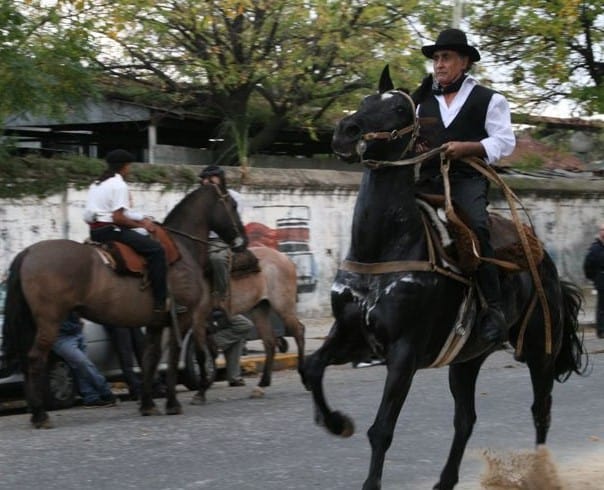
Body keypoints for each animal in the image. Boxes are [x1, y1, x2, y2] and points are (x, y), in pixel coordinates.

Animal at [1, 185, 245, 428]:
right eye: (233, 205)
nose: (242, 241)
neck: (181, 249)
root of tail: (28, 253)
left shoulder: (156, 322)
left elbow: (150, 358)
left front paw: (148, 404)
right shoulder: (182, 319)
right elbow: (174, 357)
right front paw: (172, 404)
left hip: (31, 324)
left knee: (26, 361)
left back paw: (35, 411)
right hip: (49, 322)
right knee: (36, 359)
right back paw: (41, 415)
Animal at [192, 245, 306, 402]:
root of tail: (285, 258)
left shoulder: (197, 317)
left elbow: (201, 353)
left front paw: (202, 389)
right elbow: (206, 350)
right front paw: (204, 386)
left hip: (283, 306)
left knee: (298, 331)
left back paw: (303, 376)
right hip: (260, 309)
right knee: (270, 341)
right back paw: (261, 384)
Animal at [304, 66, 588, 490]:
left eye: (401, 109)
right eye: (368, 100)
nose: (346, 132)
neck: (385, 247)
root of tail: (545, 263)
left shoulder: (403, 353)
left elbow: (382, 429)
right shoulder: (353, 338)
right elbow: (311, 367)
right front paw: (336, 422)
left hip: (540, 351)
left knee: (541, 410)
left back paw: (539, 472)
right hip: (467, 360)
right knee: (465, 420)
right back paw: (446, 480)